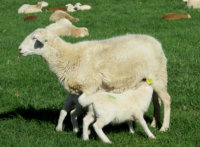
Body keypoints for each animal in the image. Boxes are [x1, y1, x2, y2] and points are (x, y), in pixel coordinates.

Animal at [18, 28, 171, 132]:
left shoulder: (90, 87)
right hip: (151, 78)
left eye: (34, 38)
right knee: (156, 100)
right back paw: (154, 123)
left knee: (166, 99)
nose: (19, 49)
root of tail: (156, 43)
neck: (69, 57)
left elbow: (84, 106)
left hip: (159, 75)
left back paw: (164, 127)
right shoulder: (79, 89)